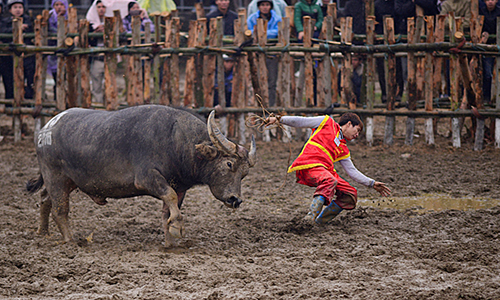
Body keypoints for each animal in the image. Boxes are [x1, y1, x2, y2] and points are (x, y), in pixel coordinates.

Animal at [25, 105, 256, 246]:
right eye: (229, 164)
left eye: (245, 174)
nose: (235, 199)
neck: (175, 139)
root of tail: (46, 128)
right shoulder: (147, 179)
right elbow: (169, 197)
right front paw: (177, 228)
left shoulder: (180, 186)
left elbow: (168, 210)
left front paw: (170, 241)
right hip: (56, 177)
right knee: (60, 210)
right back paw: (71, 240)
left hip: (67, 181)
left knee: (45, 199)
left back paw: (42, 232)